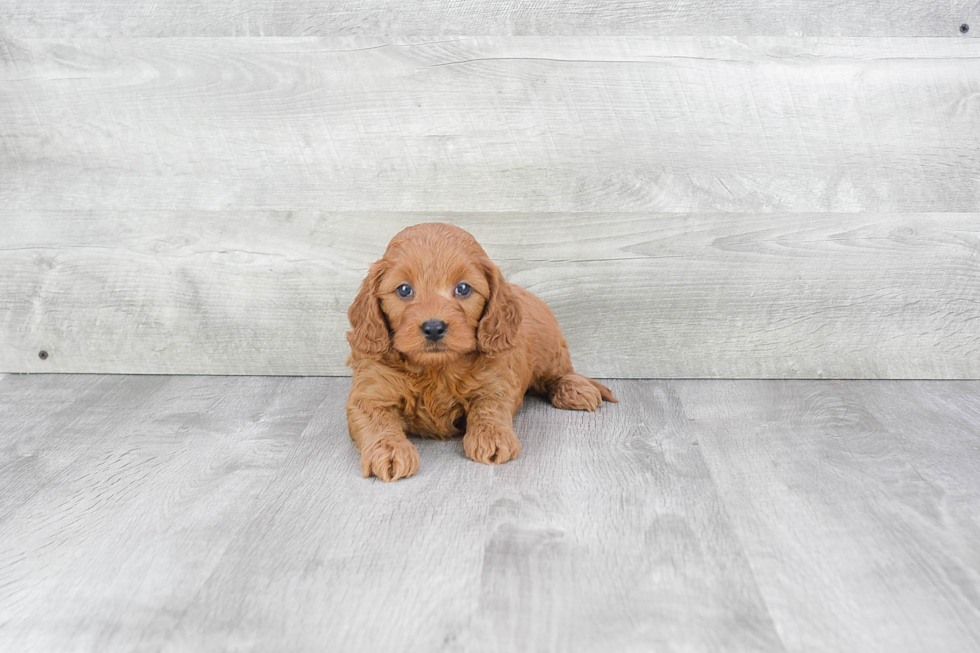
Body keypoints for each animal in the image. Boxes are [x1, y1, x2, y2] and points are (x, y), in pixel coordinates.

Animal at [348, 222, 616, 482]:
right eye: (404, 290)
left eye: (463, 288)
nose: (434, 328)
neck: (436, 369)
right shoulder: (369, 394)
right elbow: (377, 422)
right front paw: (390, 451)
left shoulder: (495, 382)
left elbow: (488, 409)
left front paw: (492, 437)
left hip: (550, 347)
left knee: (560, 372)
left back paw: (574, 389)